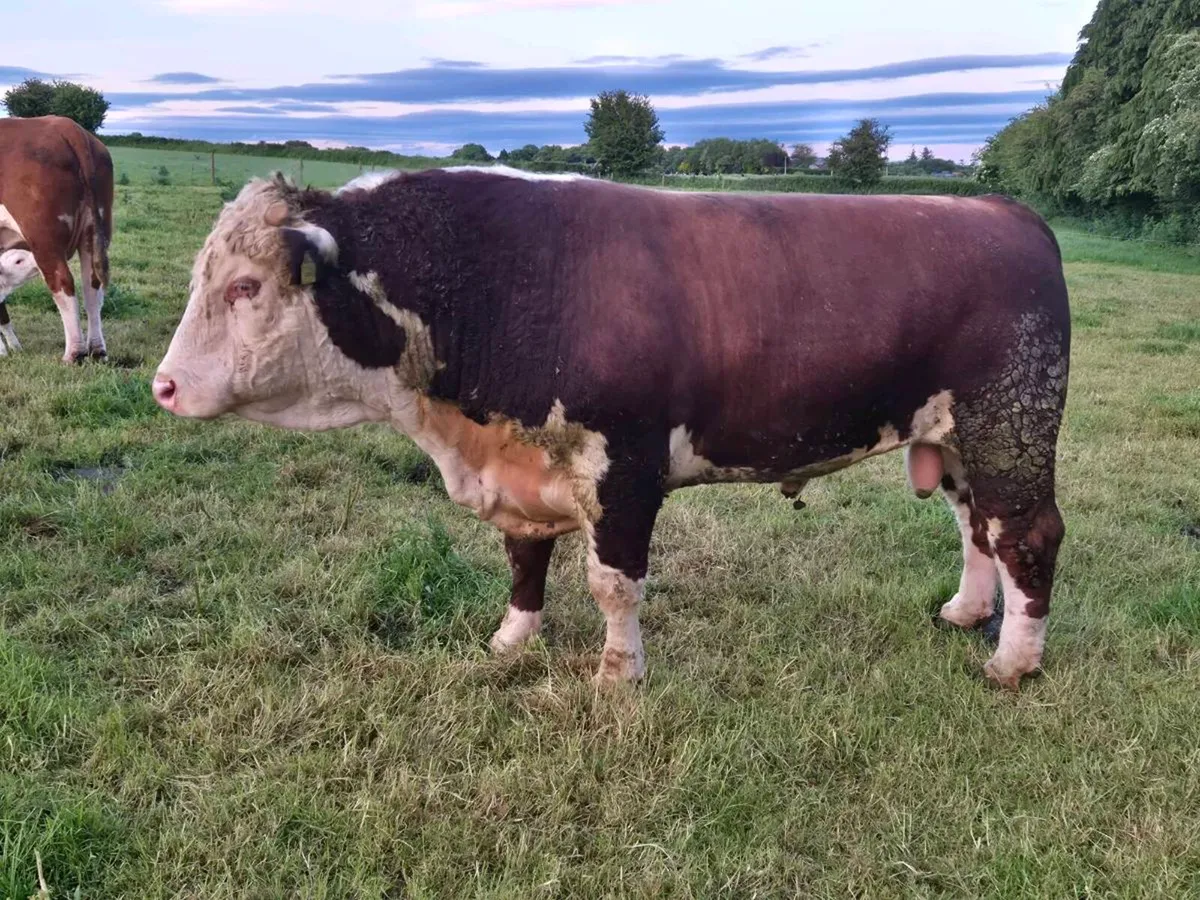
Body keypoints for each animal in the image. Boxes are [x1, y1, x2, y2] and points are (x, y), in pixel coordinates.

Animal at [0, 115, 114, 361]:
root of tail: (64, 124)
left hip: (44, 240)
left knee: (63, 282)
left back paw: (74, 353)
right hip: (94, 231)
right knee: (92, 285)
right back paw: (97, 350)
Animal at [152, 167, 1070, 691]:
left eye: (244, 286)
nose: (162, 386)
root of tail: (1001, 211)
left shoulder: (622, 467)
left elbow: (613, 584)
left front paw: (618, 676)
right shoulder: (521, 463)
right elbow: (524, 559)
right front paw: (511, 640)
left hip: (1010, 424)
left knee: (1026, 533)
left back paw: (1013, 661)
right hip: (957, 438)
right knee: (976, 527)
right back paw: (966, 612)